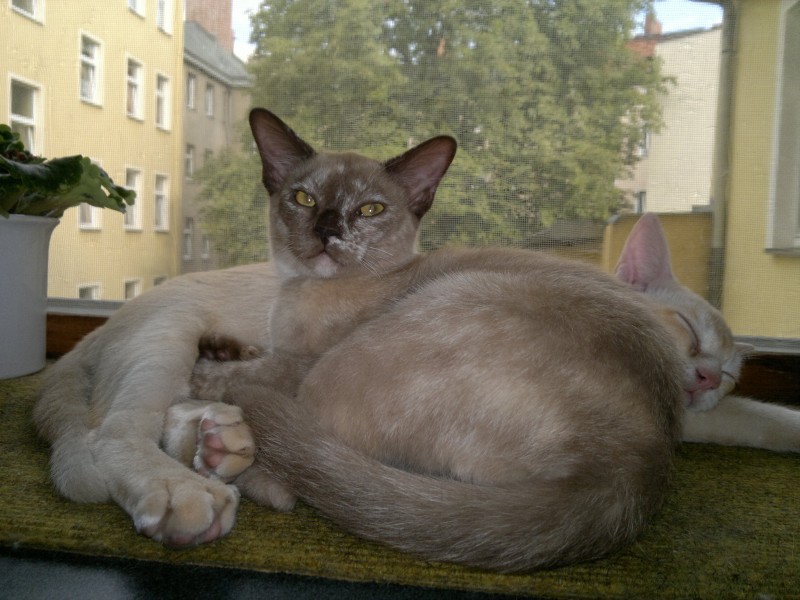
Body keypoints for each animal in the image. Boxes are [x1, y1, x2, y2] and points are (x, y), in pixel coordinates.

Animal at [31, 106, 456, 544]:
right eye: (304, 199)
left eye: (370, 210)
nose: (327, 229)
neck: (305, 291)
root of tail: (94, 333)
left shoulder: (296, 362)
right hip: (169, 340)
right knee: (114, 433)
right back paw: (192, 489)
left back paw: (220, 446)